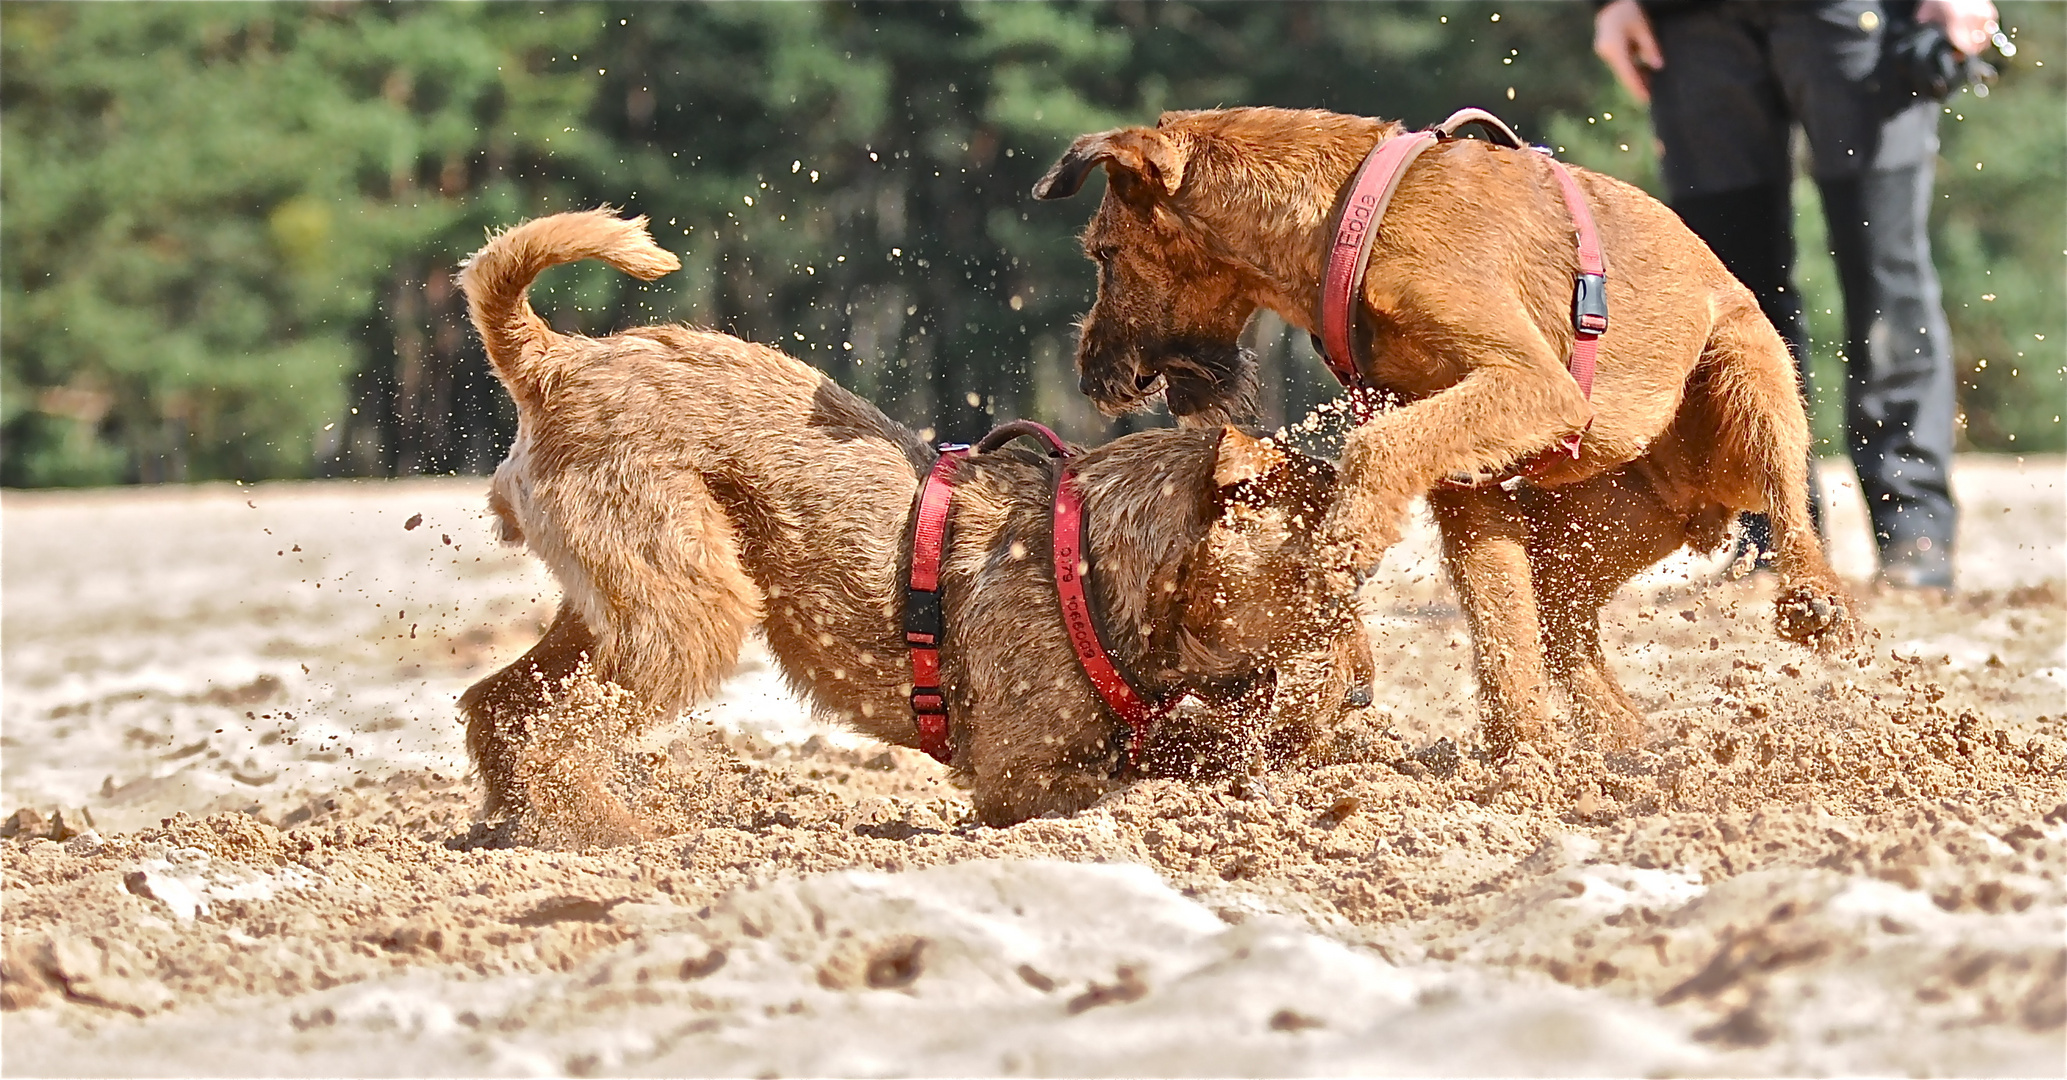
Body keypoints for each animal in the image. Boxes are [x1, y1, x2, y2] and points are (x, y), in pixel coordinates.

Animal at [452, 207, 1372, 831]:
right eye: (1333, 579)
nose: (1363, 695)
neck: (1088, 564)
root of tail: (556, 358)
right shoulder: (1019, 775)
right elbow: (1127, 774)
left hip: (612, 601)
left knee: (497, 703)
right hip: (689, 603)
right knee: (552, 732)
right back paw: (612, 829)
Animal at [1033, 102, 1860, 757]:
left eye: (1104, 255)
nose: (1090, 376)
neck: (1350, 218)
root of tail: (1697, 498)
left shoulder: (1531, 384)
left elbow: (1374, 448)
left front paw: (1337, 555)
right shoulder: (1469, 476)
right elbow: (1499, 625)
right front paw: (1521, 761)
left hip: (1747, 383)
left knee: (1788, 504)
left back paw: (1817, 604)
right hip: (1598, 529)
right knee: (1562, 623)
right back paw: (1618, 743)